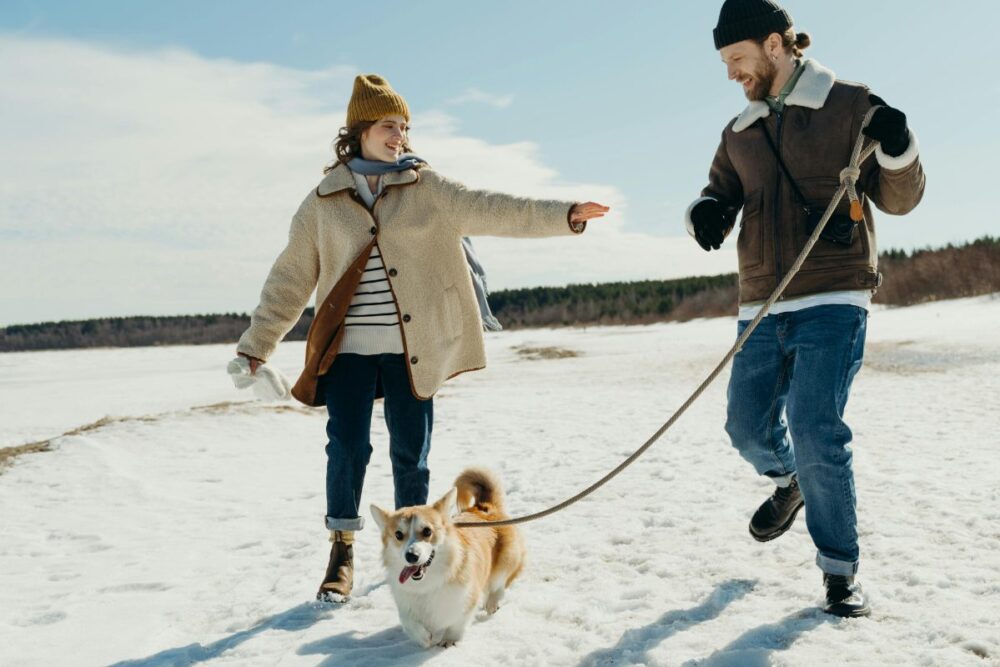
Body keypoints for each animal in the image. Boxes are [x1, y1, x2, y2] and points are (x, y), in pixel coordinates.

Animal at [372, 468, 528, 648]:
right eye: (398, 535)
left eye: (427, 531)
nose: (411, 556)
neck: (427, 584)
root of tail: (485, 507)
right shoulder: (406, 604)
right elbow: (409, 622)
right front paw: (424, 638)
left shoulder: (467, 599)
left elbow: (457, 623)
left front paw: (449, 640)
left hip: (506, 560)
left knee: (499, 584)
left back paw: (492, 603)